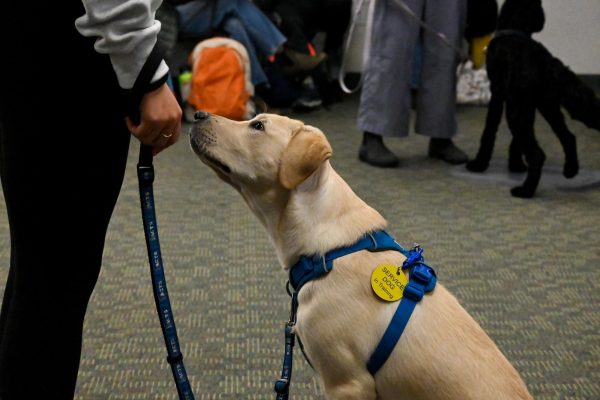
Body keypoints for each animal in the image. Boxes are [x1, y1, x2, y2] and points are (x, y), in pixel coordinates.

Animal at [468, 0, 600, 198]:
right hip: (549, 106)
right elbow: (516, 141)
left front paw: (479, 164)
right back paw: (570, 170)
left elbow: (489, 131)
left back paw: (525, 190)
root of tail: (544, 62)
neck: (516, 29)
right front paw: (516, 165)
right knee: (568, 137)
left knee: (538, 155)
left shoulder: (498, 94)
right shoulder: (528, 105)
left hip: (518, 111)